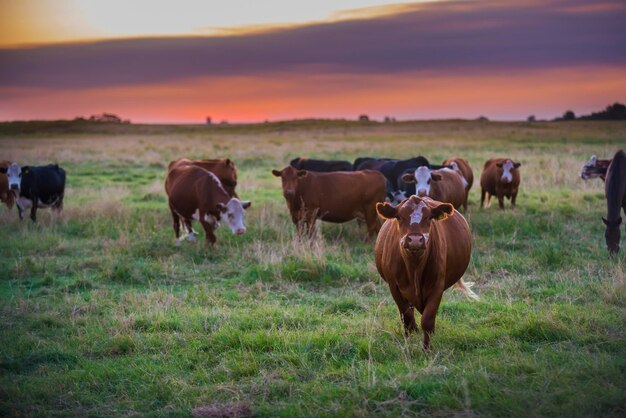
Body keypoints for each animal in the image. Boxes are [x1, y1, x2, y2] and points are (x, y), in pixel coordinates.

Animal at [372, 196, 476, 350]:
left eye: (428, 217)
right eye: (399, 217)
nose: (415, 239)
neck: (414, 267)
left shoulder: (437, 287)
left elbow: (427, 319)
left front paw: (427, 348)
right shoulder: (394, 287)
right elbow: (407, 316)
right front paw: (409, 338)